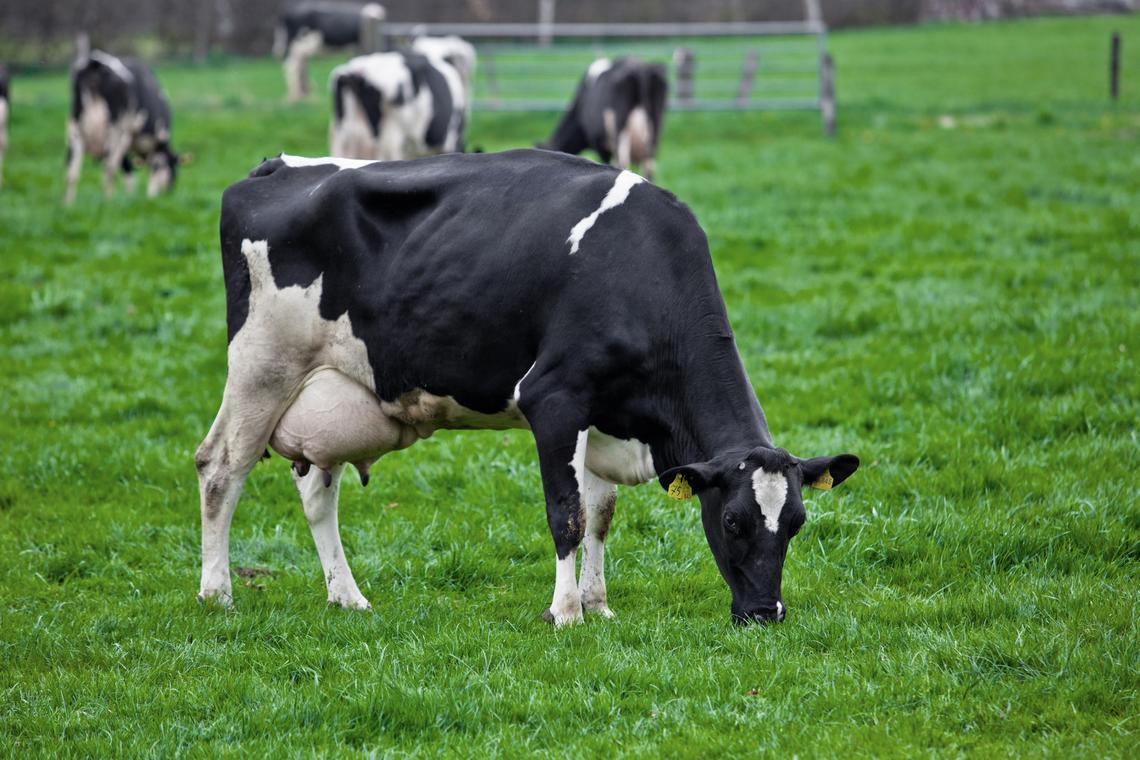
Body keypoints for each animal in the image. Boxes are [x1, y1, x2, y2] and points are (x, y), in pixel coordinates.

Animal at [65, 50, 181, 205]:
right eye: (173, 169)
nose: (169, 192)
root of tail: (95, 63)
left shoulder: (126, 143)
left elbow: (128, 171)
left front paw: (130, 198)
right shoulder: (159, 140)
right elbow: (154, 171)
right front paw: (151, 197)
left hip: (75, 129)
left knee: (71, 171)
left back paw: (68, 205)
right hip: (115, 130)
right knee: (108, 169)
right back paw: (108, 203)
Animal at [196, 146, 857, 624]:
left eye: (796, 523)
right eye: (733, 522)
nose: (766, 612)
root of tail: (276, 165)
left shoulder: (602, 413)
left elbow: (599, 514)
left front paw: (598, 603)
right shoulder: (555, 398)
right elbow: (565, 513)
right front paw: (565, 613)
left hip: (325, 398)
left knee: (316, 494)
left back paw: (348, 597)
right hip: (261, 367)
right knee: (220, 468)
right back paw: (217, 593)